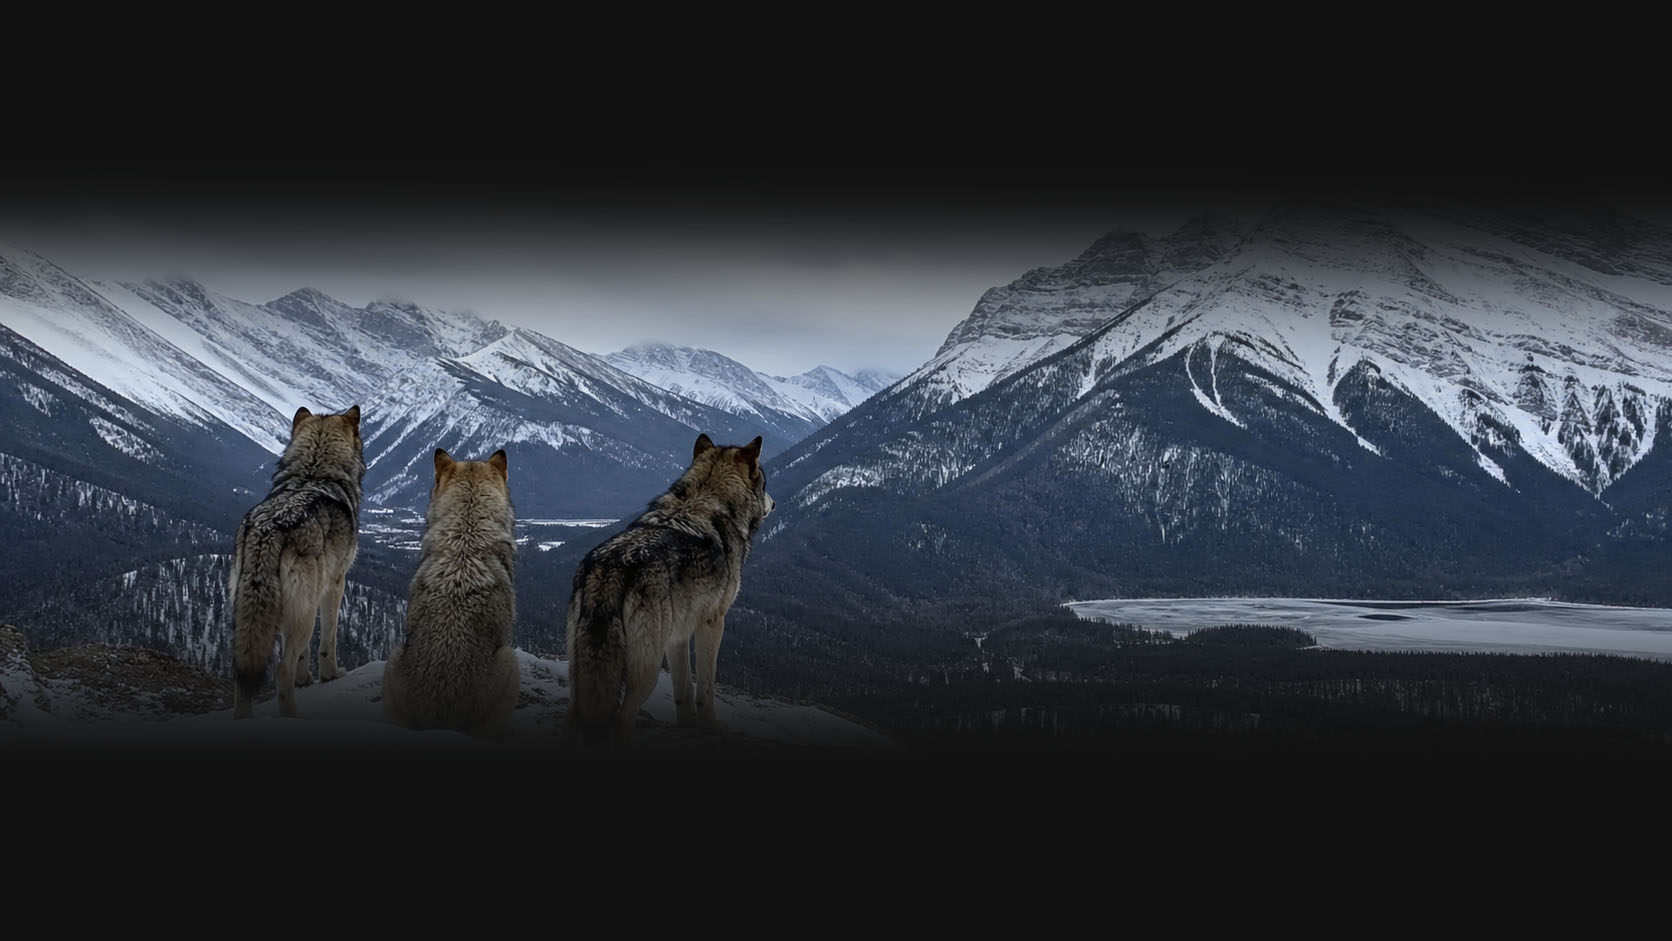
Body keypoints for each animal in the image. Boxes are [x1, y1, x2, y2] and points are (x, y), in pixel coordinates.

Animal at [230, 405, 365, 719]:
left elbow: (303, 658)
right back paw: (293, 715)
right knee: (281, 669)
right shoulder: (336, 585)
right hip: (303, 614)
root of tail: (267, 531)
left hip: (249, 615)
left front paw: (305, 681)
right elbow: (328, 641)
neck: (314, 473)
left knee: (244, 673)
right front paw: (330, 675)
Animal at [561, 433, 773, 752]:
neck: (706, 498)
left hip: (581, 675)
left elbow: (683, 689)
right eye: (766, 484)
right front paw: (710, 727)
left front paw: (686, 724)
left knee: (576, 719)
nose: (774, 502)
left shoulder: (678, 635)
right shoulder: (713, 623)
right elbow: (706, 688)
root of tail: (609, 571)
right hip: (645, 670)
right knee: (622, 720)